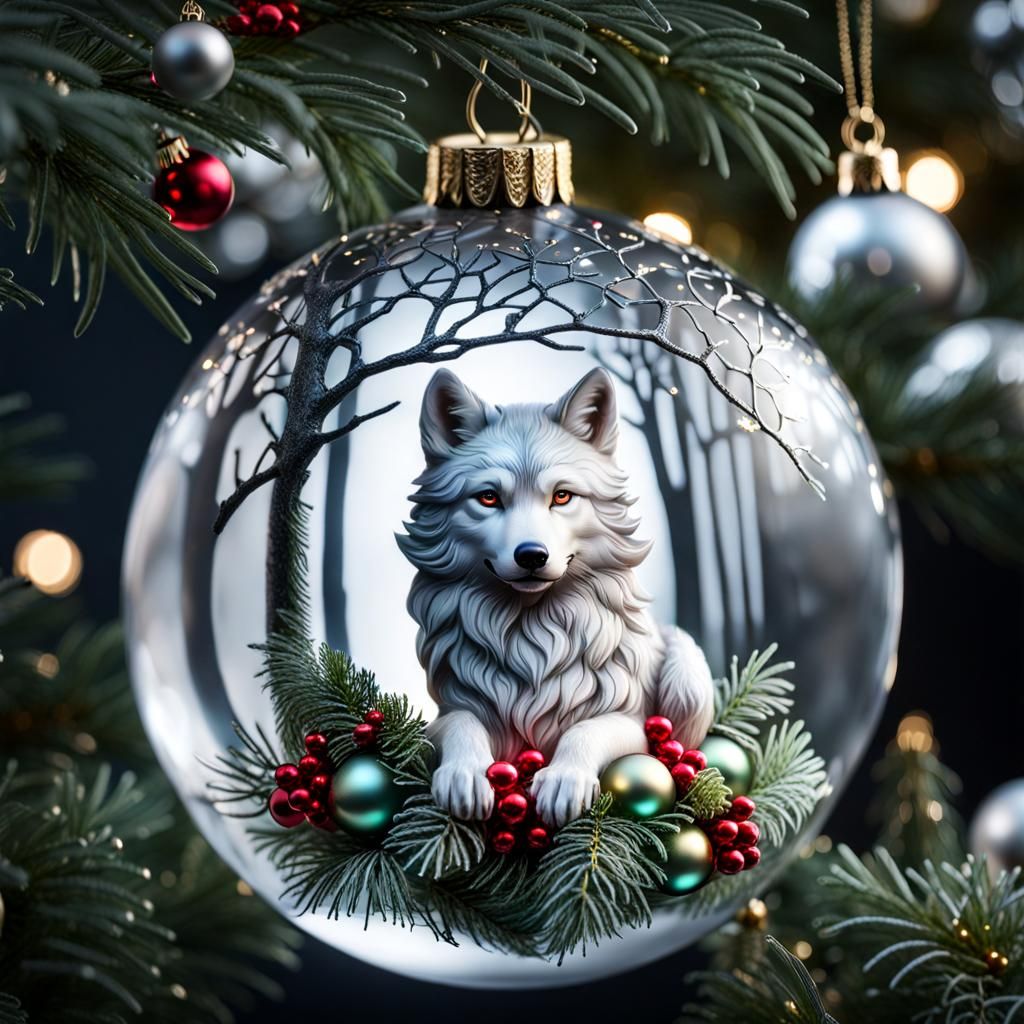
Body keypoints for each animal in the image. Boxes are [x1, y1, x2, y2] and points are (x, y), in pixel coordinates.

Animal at [397, 366, 715, 828]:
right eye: (489, 497)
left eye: (562, 496)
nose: (531, 555)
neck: (530, 636)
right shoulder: (444, 713)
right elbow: (461, 723)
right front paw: (463, 774)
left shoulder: (634, 723)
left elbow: (587, 729)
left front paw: (565, 779)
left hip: (688, 676)